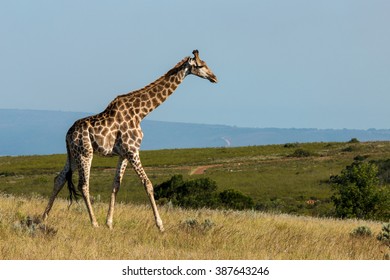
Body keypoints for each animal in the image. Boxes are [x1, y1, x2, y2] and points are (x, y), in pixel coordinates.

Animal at [44, 50, 218, 232]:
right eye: (201, 65)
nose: (214, 77)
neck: (141, 113)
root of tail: (68, 134)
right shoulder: (133, 150)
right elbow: (147, 184)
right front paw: (160, 225)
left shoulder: (124, 154)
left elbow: (116, 185)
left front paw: (109, 223)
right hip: (85, 153)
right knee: (83, 185)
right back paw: (94, 223)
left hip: (72, 154)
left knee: (59, 179)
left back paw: (44, 218)